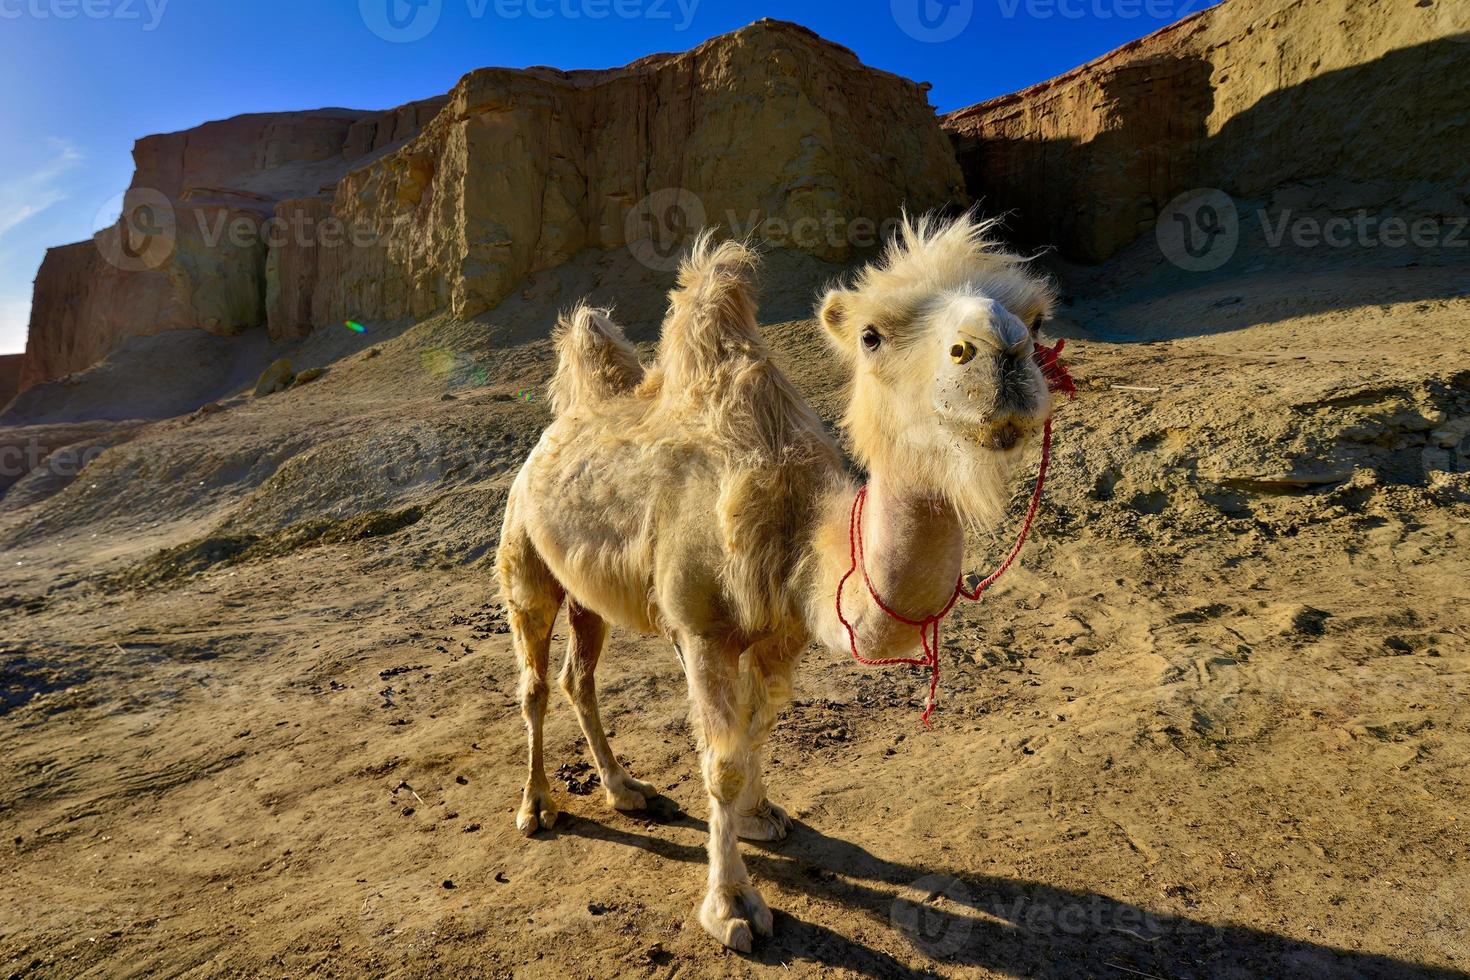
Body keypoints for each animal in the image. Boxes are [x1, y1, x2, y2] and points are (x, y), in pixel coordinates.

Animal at [499, 208, 1064, 952]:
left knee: (579, 677)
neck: (798, 532)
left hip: (591, 593)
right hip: (524, 552)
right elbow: (721, 760)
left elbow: (758, 726)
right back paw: (537, 807)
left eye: (1036, 317)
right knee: (535, 681)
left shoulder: (782, 633)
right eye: (871, 335)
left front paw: (761, 815)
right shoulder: (703, 630)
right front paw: (733, 906)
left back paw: (625, 789)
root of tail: (557, 424)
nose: (1001, 349)